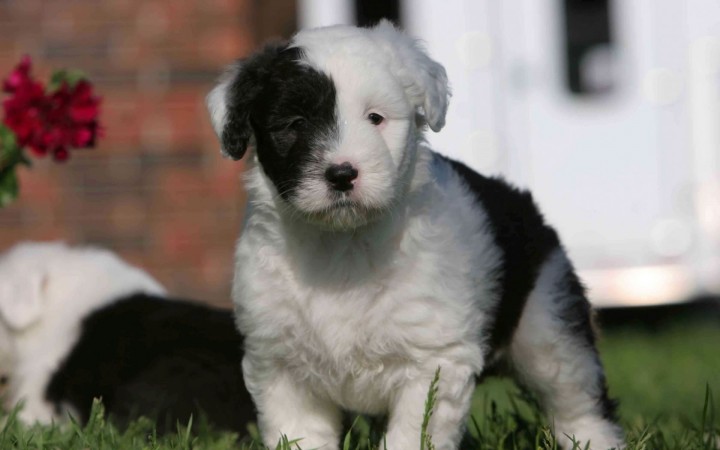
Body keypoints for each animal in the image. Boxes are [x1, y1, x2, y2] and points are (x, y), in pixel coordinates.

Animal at [207, 21, 624, 450]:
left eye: (375, 118)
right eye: (295, 124)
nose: (341, 174)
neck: (343, 244)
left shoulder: (434, 361)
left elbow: (412, 433)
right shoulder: (281, 365)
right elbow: (300, 433)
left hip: (548, 321)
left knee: (576, 400)